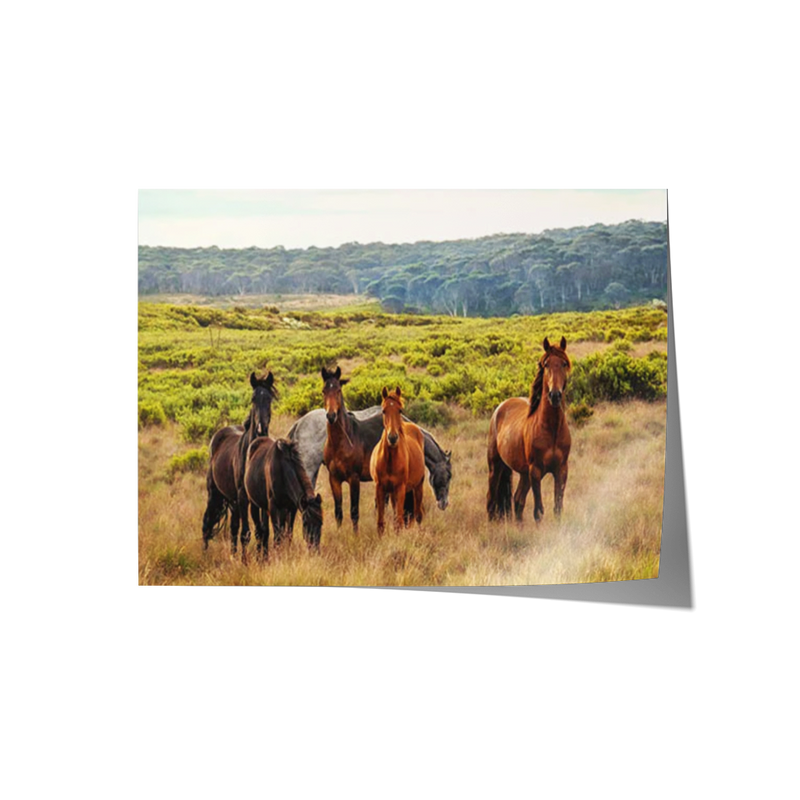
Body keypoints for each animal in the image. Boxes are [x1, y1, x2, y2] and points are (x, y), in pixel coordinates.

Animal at [203, 370, 278, 564]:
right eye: (253, 398)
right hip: (215, 494)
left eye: (269, 398)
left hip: (233, 501)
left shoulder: (260, 499)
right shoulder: (244, 497)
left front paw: (263, 559)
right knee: (207, 523)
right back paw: (205, 554)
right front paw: (245, 562)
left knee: (233, 527)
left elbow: (263, 531)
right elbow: (247, 532)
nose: (260, 429)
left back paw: (233, 555)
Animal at [370, 386, 428, 536]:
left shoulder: (400, 488)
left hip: (418, 487)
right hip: (392, 493)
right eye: (383, 410)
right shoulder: (380, 488)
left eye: (400, 410)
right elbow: (381, 522)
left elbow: (399, 522)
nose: (392, 438)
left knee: (418, 515)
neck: (390, 459)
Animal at [484, 338, 572, 524]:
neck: (552, 429)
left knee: (518, 500)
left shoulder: (561, 470)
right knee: (491, 500)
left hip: (524, 474)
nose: (555, 395)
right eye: (546, 365)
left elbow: (557, 508)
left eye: (563, 364)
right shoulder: (536, 471)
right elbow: (538, 511)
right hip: (496, 466)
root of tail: (500, 407)